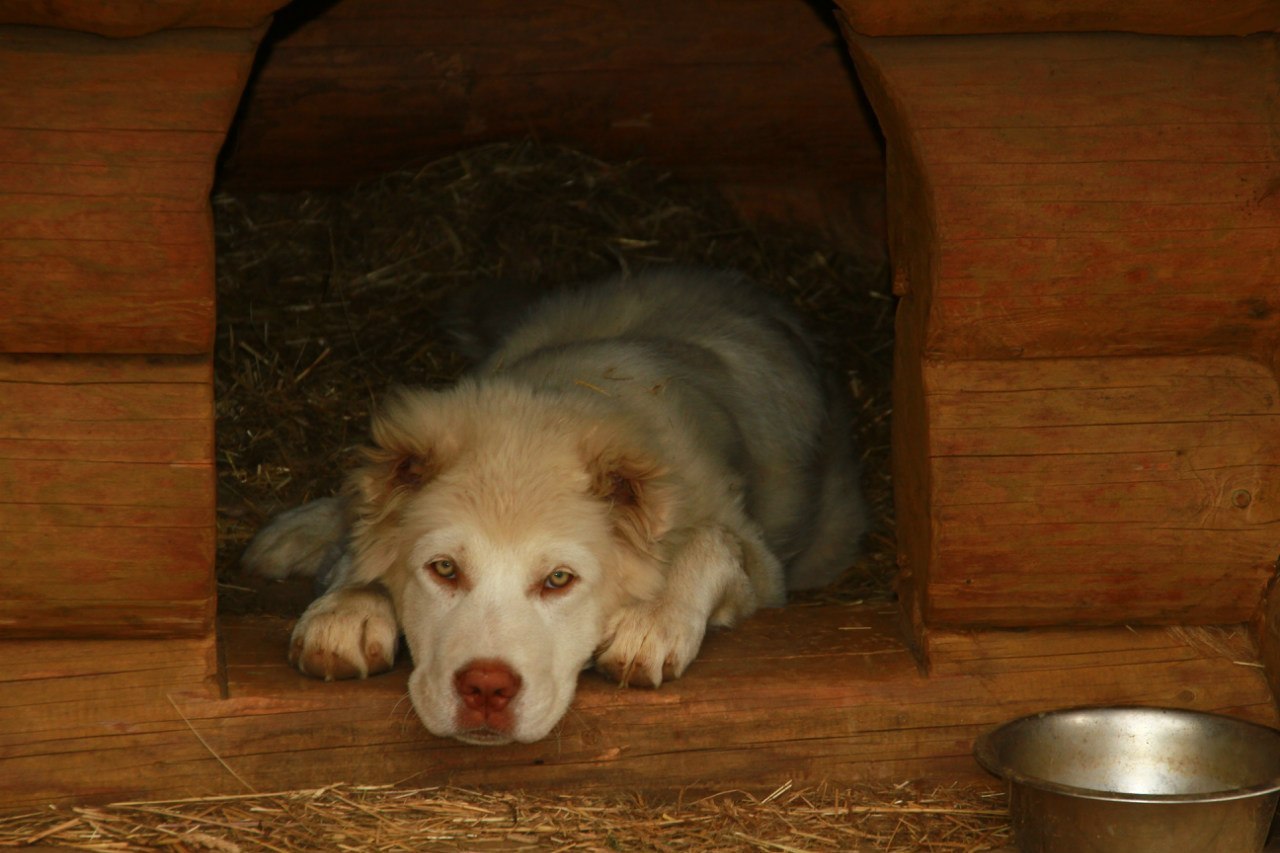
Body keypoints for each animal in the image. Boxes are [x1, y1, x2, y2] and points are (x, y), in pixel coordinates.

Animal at [244, 268, 865, 742]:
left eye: (559, 580)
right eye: (444, 569)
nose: (486, 689)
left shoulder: (762, 562)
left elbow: (712, 541)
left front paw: (653, 619)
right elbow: (364, 543)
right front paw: (345, 610)